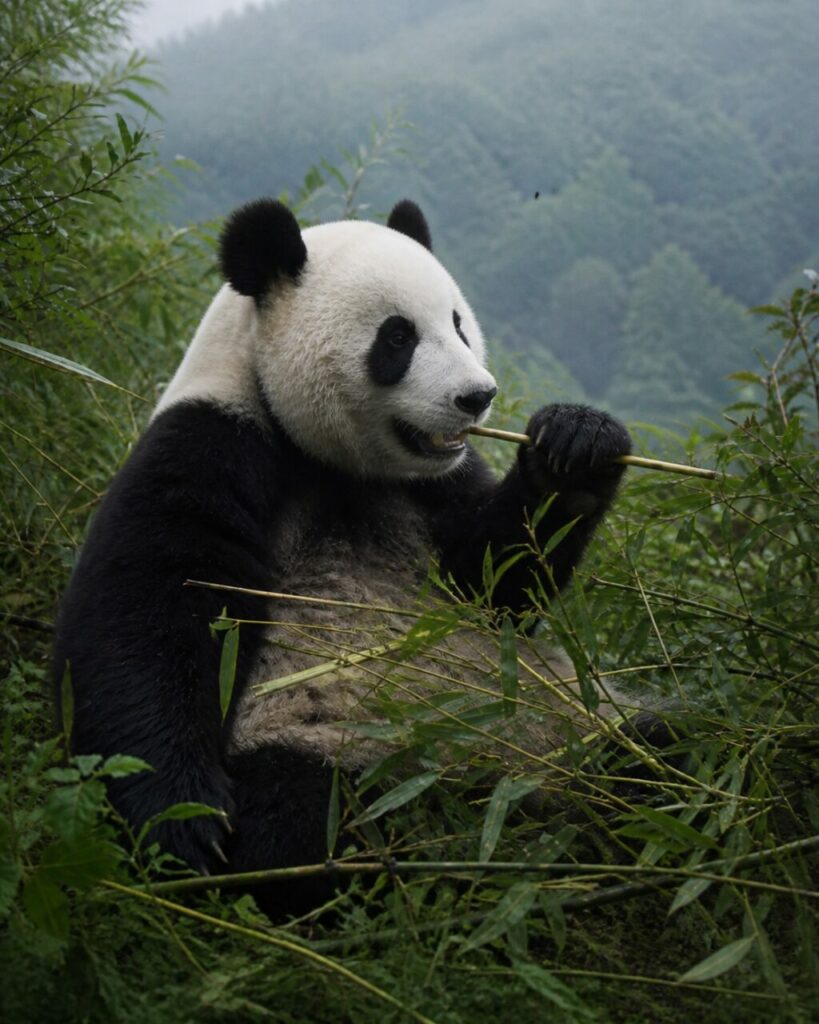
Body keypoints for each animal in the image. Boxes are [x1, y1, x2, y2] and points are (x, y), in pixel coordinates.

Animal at [53, 197, 633, 917]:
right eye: (397, 338)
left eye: (458, 324)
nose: (477, 396)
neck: (333, 462)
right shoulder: (215, 439)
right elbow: (145, 614)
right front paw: (183, 825)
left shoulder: (433, 487)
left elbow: (495, 581)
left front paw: (577, 444)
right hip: (337, 744)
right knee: (300, 827)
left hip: (578, 717)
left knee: (674, 748)